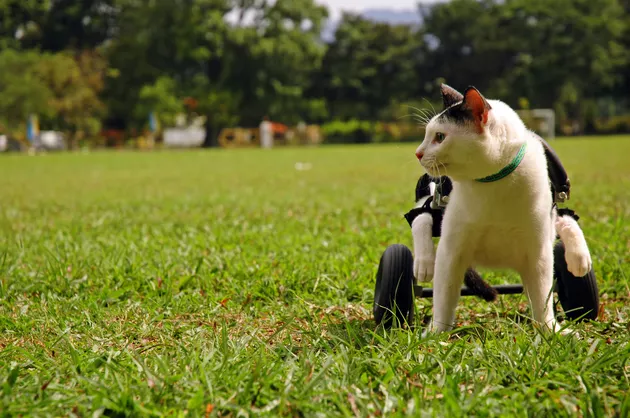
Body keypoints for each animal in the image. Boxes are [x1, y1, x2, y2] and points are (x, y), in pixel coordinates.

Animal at [412, 84, 596, 334]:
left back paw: (578, 258)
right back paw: (423, 262)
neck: (492, 184)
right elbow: (443, 297)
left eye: (440, 137)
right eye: (427, 134)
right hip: (432, 195)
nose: (418, 153)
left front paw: (550, 331)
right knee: (420, 217)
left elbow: (543, 297)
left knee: (565, 219)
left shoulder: (538, 251)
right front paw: (435, 333)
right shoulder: (451, 249)